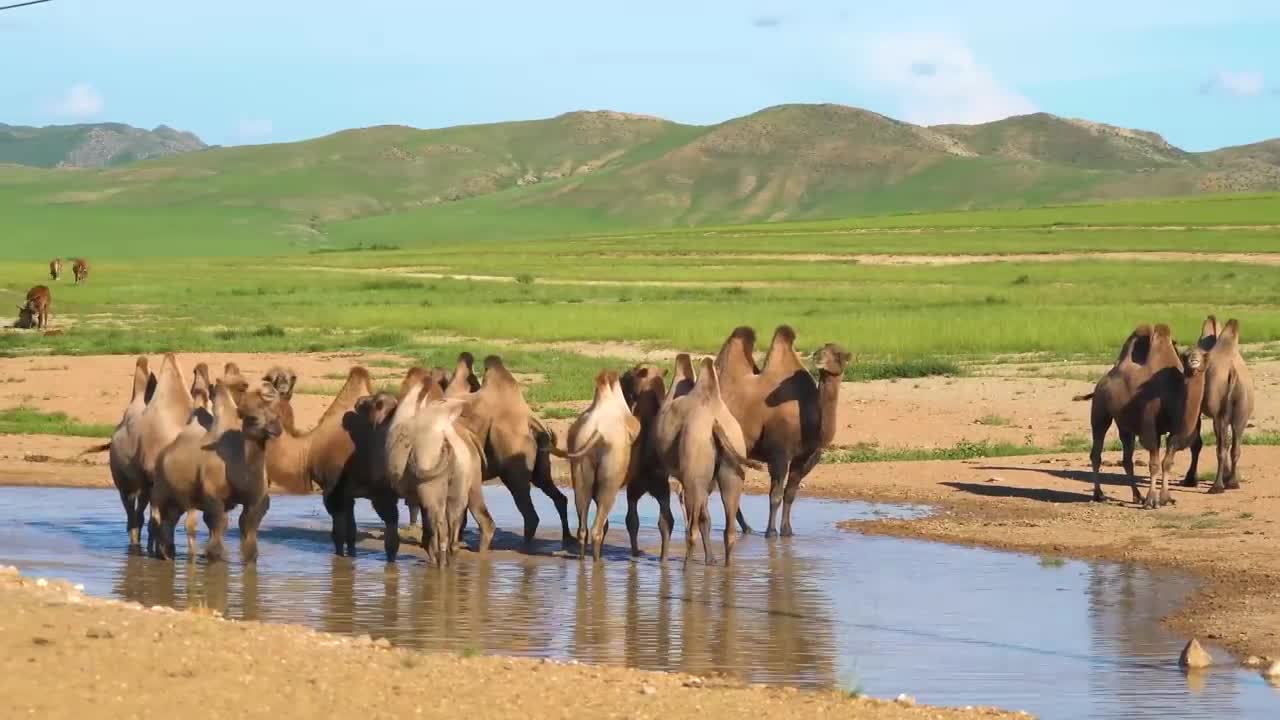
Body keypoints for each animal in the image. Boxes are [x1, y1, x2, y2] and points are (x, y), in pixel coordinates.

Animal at [150, 371, 282, 563]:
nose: (270, 387)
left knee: (170, 519)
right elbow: (218, 527)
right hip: (160, 488)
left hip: (180, 497)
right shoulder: (213, 496)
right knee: (157, 516)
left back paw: (168, 554)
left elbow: (248, 531)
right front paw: (213, 558)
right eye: (253, 418)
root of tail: (164, 453)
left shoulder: (256, 501)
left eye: (278, 416)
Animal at [568, 368, 637, 561]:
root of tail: (596, 433)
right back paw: (598, 560)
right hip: (611, 474)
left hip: (580, 469)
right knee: (597, 529)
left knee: (582, 527)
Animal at [655, 356, 752, 563]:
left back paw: (687, 565)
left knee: (692, 530)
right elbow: (705, 519)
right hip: (731, 469)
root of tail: (714, 424)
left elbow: (669, 521)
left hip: (695, 469)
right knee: (728, 529)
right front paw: (710, 560)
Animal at [1177, 315, 1259, 489]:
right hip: (1242, 412)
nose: (1193, 361)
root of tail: (1232, 372)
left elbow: (1197, 442)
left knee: (1222, 446)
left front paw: (1190, 479)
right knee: (1235, 445)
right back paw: (1233, 482)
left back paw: (1217, 486)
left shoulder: (1199, 409)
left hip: (1220, 413)